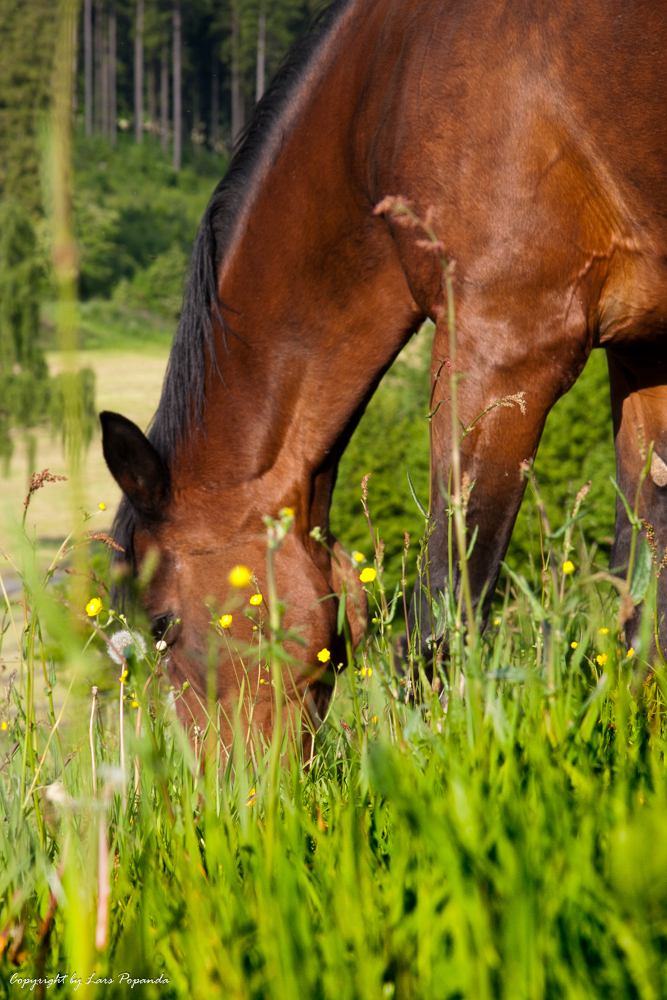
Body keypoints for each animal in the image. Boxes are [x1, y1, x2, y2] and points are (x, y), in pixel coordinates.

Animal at [102, 0, 667, 740]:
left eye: (163, 622)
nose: (222, 776)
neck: (386, 93)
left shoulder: (502, 350)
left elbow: (442, 620)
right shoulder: (645, 354)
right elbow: (642, 602)